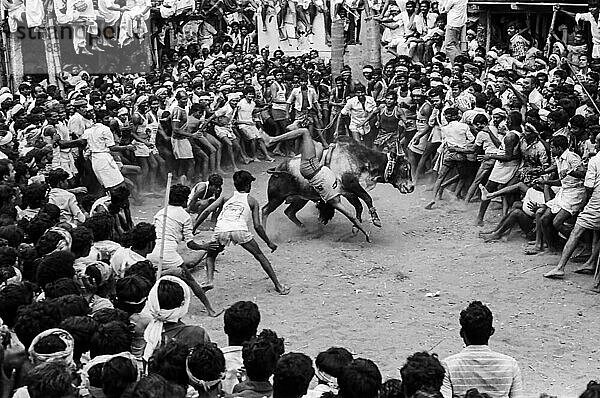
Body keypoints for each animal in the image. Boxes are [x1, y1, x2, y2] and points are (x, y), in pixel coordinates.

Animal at [260, 136, 414, 230]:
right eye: (405, 167)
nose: (411, 187)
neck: (361, 159)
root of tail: (277, 170)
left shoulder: (348, 192)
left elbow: (359, 206)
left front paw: (356, 226)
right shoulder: (352, 185)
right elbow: (367, 198)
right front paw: (376, 220)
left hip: (300, 199)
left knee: (289, 212)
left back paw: (304, 228)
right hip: (276, 198)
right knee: (265, 210)